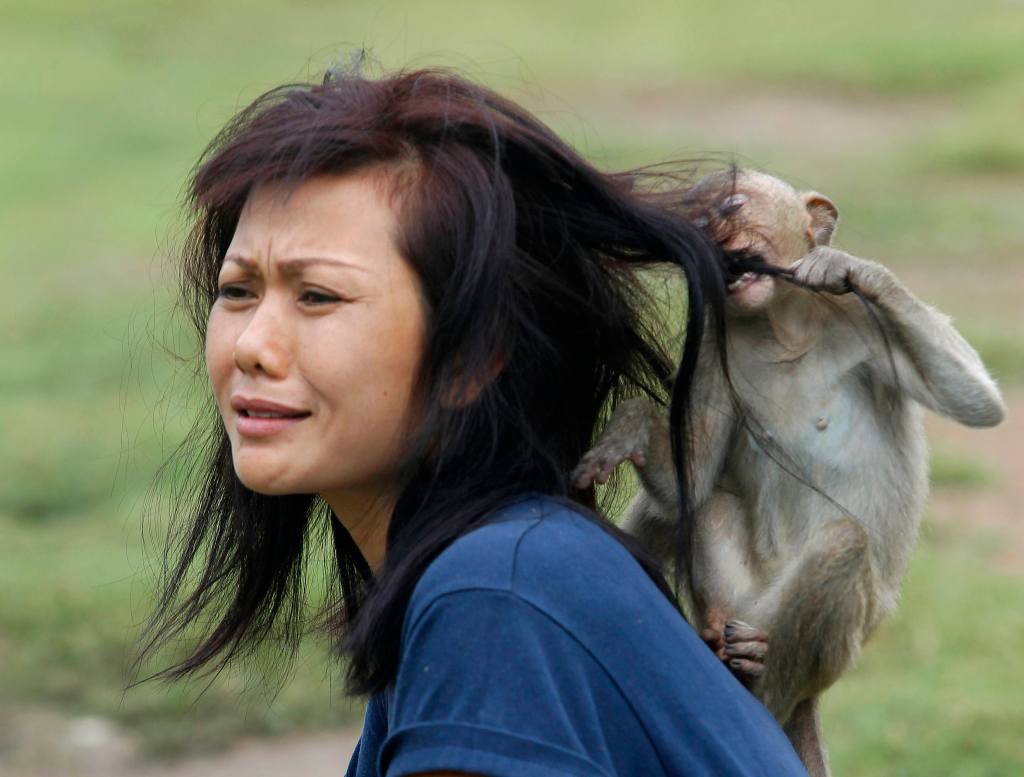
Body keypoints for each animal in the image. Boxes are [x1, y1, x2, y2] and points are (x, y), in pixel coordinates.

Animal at [573, 169, 1003, 777]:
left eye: (731, 204)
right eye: (698, 216)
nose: (713, 235)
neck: (781, 325)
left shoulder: (865, 323)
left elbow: (976, 402)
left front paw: (847, 267)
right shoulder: (712, 340)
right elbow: (691, 481)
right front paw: (628, 430)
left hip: (830, 639)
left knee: (843, 544)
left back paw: (760, 698)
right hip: (737, 596)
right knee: (700, 506)